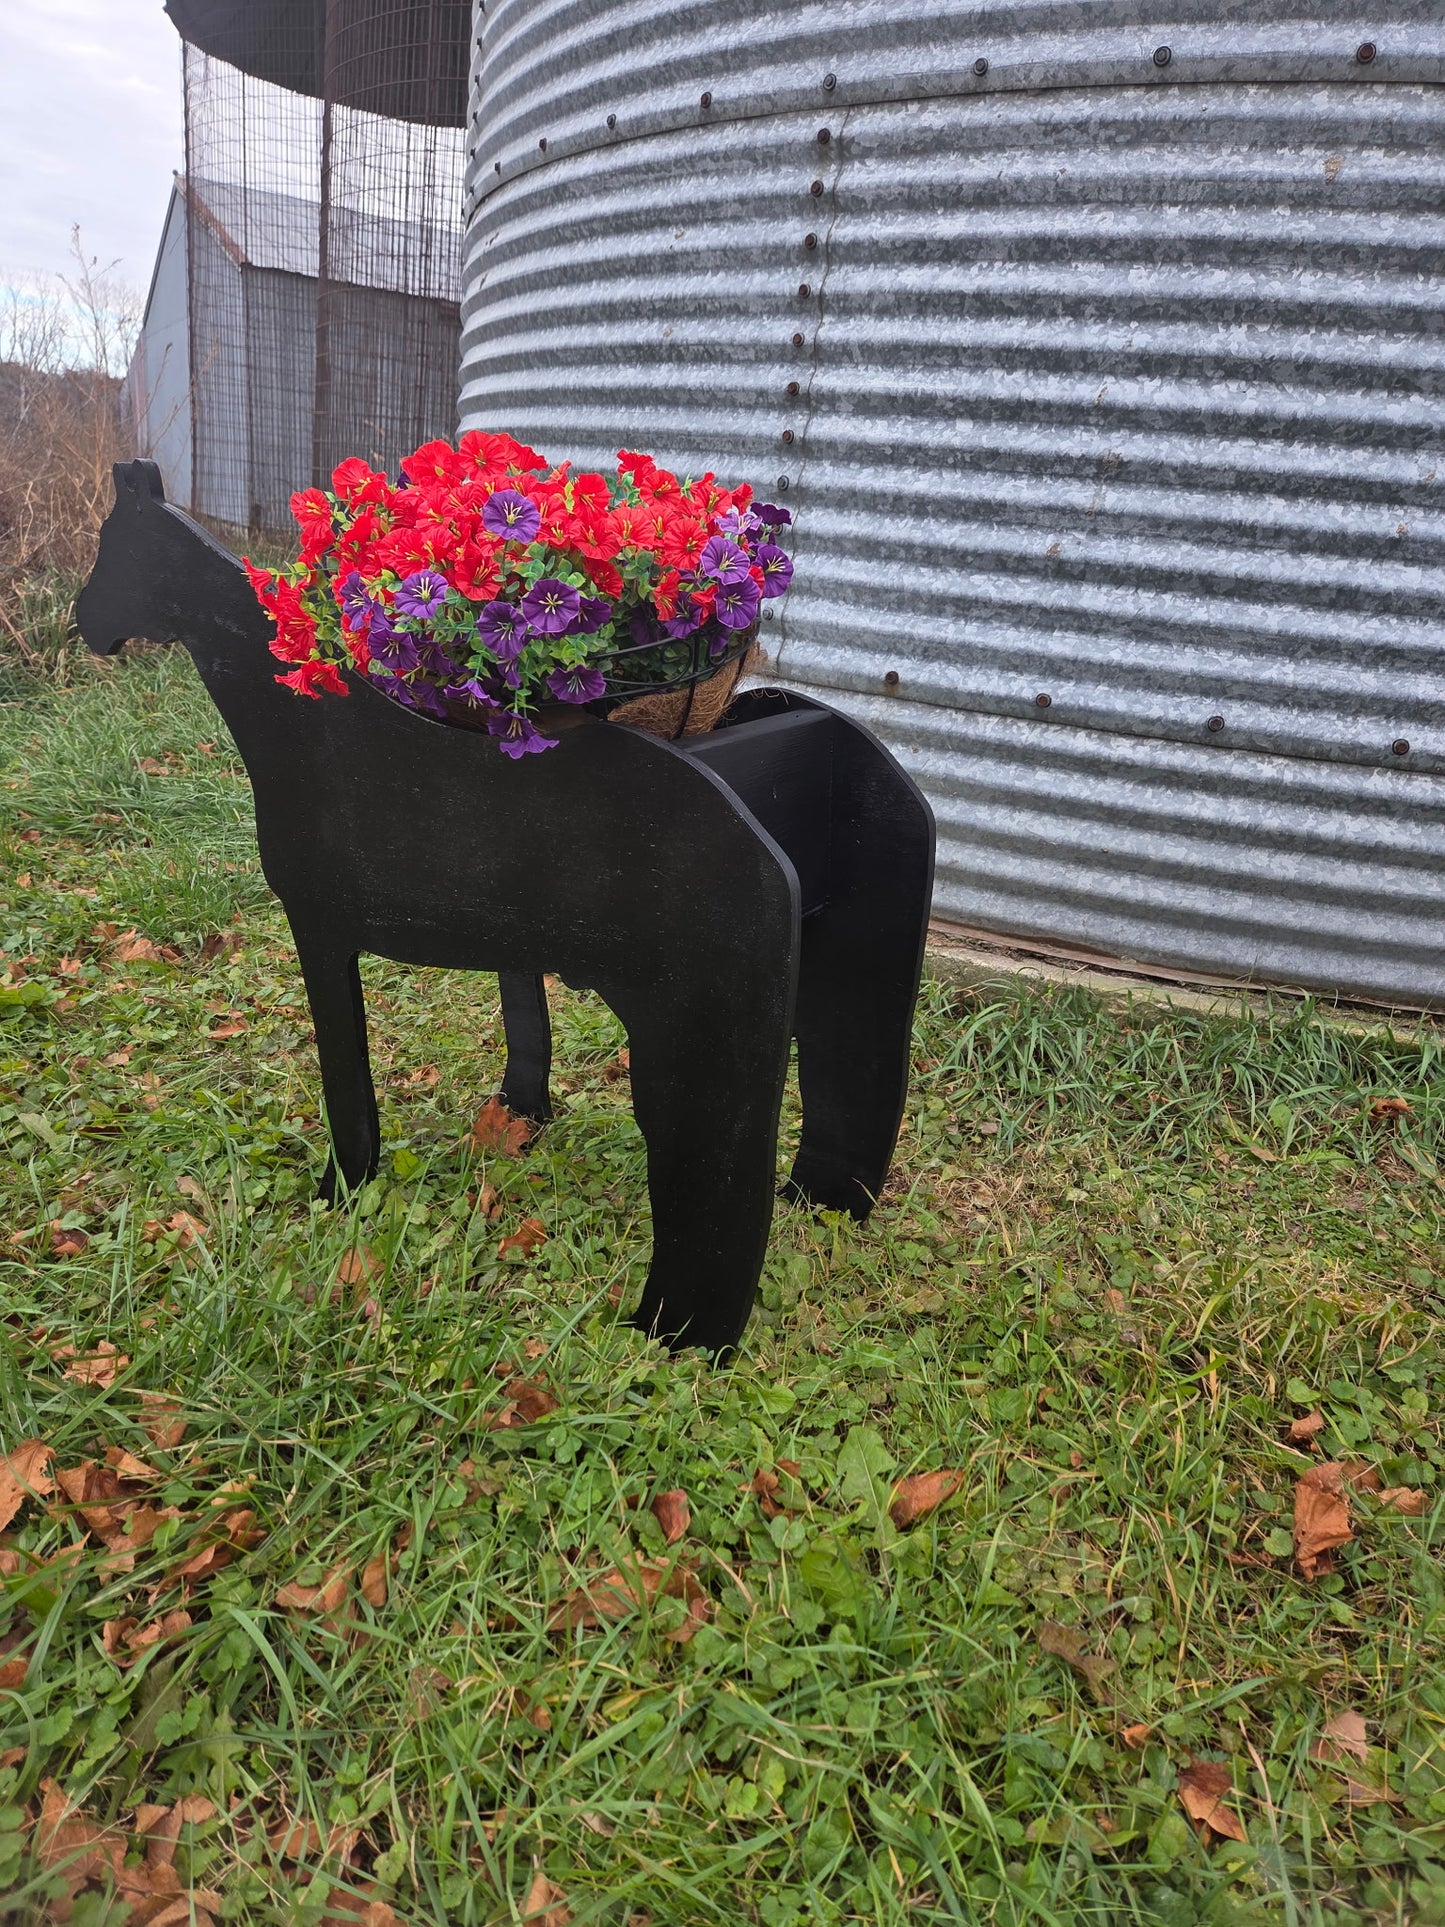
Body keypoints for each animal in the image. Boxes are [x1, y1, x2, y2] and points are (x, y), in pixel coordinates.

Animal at [76, 461, 934, 1352]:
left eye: (114, 543)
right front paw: (519, 1120)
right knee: (851, 1086)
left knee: (711, 1181)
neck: (299, 716)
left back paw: (673, 1333)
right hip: (853, 955)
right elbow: (526, 1026)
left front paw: (340, 1194)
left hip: (693, 1026)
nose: (83, 622)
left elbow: (348, 1088)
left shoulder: (319, 929)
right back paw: (818, 1207)